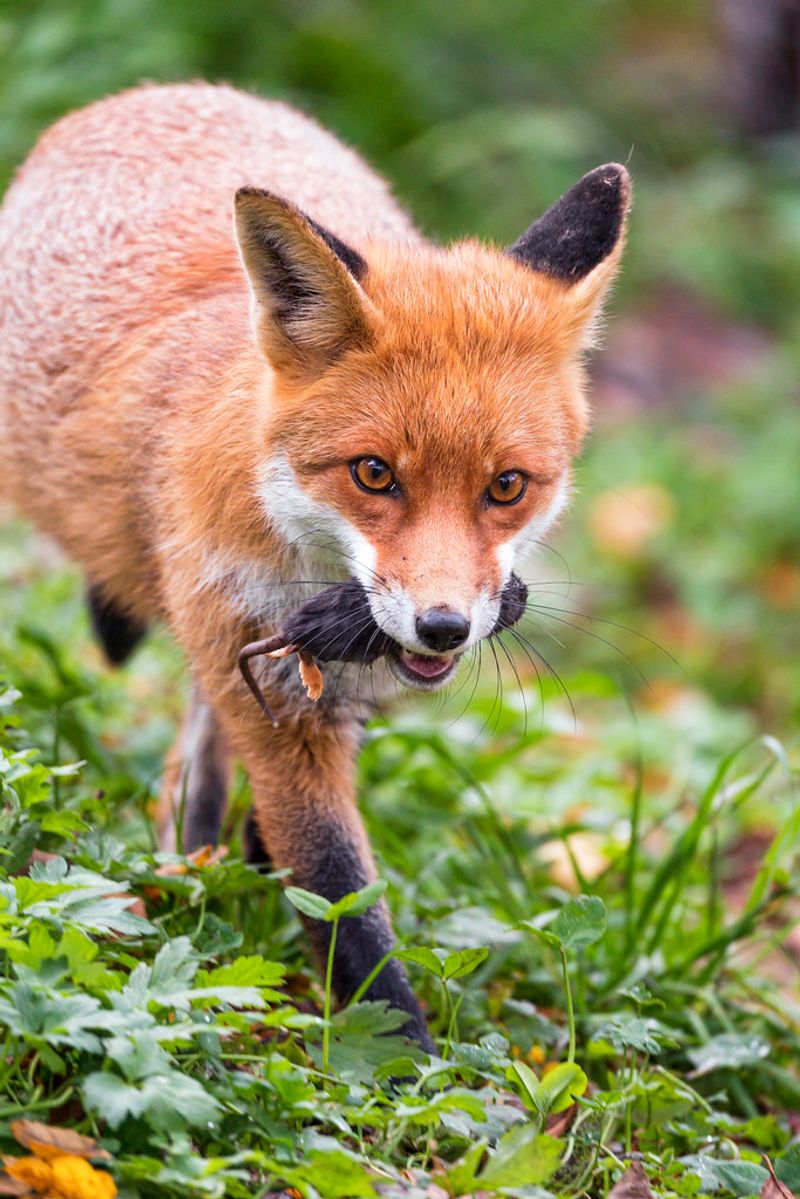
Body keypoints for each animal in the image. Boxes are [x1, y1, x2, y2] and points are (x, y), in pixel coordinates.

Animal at [0, 83, 629, 1049]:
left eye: (507, 486)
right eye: (373, 473)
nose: (444, 627)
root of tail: (157, 92)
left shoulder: (311, 687)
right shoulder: (275, 700)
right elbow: (344, 907)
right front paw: (405, 1062)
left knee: (199, 750)